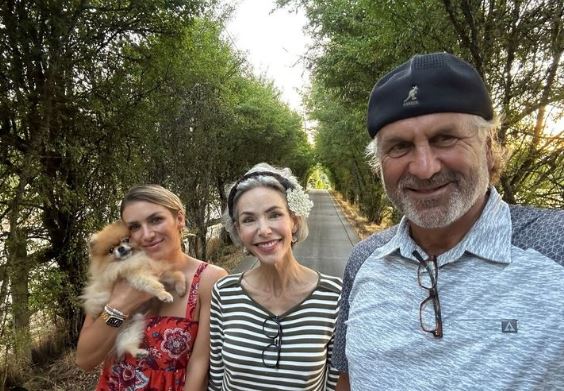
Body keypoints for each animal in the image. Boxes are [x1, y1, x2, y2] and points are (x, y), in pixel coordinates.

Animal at [80, 220, 186, 358]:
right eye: (110, 250)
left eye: (126, 240)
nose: (120, 248)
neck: (135, 258)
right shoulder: (135, 276)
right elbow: (152, 284)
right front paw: (164, 294)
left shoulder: (159, 272)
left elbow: (177, 274)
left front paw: (181, 288)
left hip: (134, 325)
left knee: (127, 343)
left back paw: (138, 352)